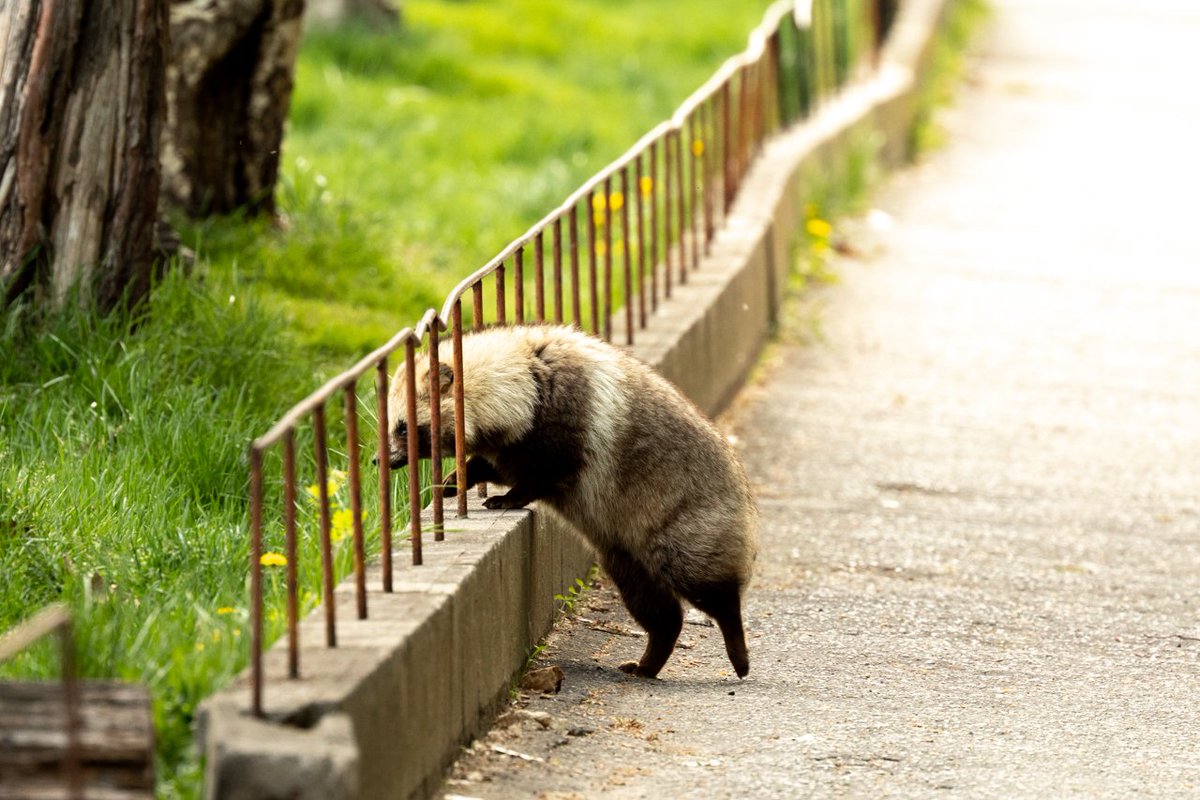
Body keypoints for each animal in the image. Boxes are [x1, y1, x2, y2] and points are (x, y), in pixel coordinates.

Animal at [388, 321, 753, 681]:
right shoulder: (518, 436)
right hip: (624, 552)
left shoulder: (567, 415)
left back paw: (733, 634)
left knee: (704, 581)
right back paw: (654, 654)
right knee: (654, 605)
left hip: (685, 521)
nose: (381, 461)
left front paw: (509, 496)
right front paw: (459, 477)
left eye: (403, 428)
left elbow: (544, 471)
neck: (526, 371)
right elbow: (500, 463)